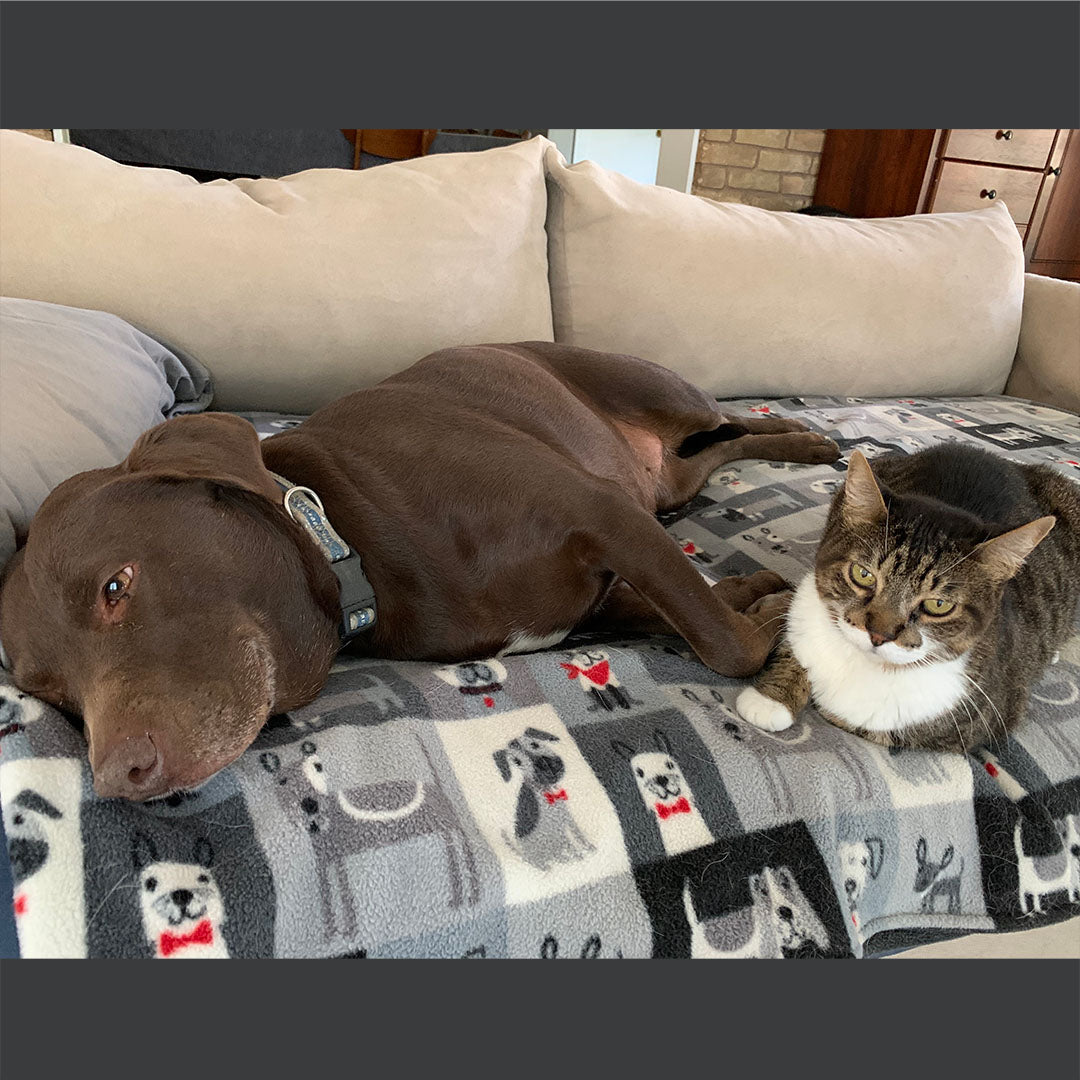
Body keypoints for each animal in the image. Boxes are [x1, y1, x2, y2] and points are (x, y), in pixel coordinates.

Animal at [0, 341, 838, 799]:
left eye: (115, 587)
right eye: (54, 696)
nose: (117, 778)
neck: (346, 535)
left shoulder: (602, 512)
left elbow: (721, 644)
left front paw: (767, 617)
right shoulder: (604, 586)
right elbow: (692, 610)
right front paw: (751, 594)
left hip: (664, 399)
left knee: (732, 421)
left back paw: (814, 438)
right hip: (668, 481)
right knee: (720, 451)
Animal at [734, 447, 1080, 751]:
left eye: (938, 605)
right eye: (863, 574)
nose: (878, 635)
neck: (865, 665)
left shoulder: (978, 719)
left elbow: (870, 724)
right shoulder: (805, 602)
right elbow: (794, 638)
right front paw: (771, 698)